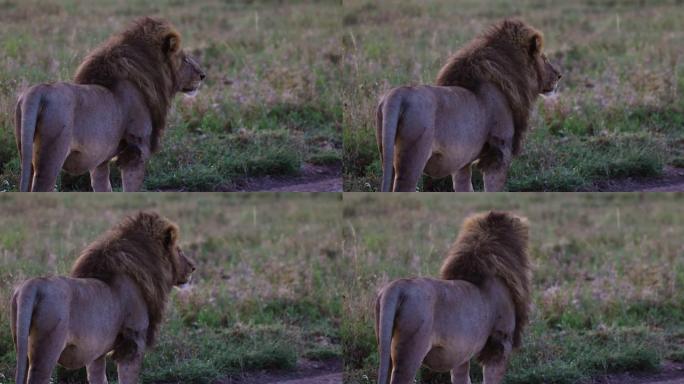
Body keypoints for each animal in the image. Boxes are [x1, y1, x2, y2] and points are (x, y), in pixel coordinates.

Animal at [10, 212, 195, 382]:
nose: (193, 267)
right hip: (47, 350)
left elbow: (98, 377)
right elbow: (128, 378)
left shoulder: (96, 352)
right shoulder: (133, 343)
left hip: (21, 345)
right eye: (179, 250)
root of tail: (32, 285)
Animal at [14, 17, 204, 192]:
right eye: (185, 60)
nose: (203, 75)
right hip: (51, 156)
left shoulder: (100, 159)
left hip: (26, 154)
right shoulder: (136, 151)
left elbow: (102, 186)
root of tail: (38, 91)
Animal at [374, 18, 560, 192]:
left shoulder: (462, 162)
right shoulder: (498, 153)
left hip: (386, 154)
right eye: (544, 58)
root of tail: (397, 94)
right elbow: (492, 188)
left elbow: (464, 187)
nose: (559, 75)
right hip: (413, 158)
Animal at [376, 212, 532, 382]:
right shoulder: (499, 344)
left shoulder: (461, 352)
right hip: (410, 351)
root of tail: (397, 286)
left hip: (385, 344)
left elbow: (461, 377)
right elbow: (490, 378)